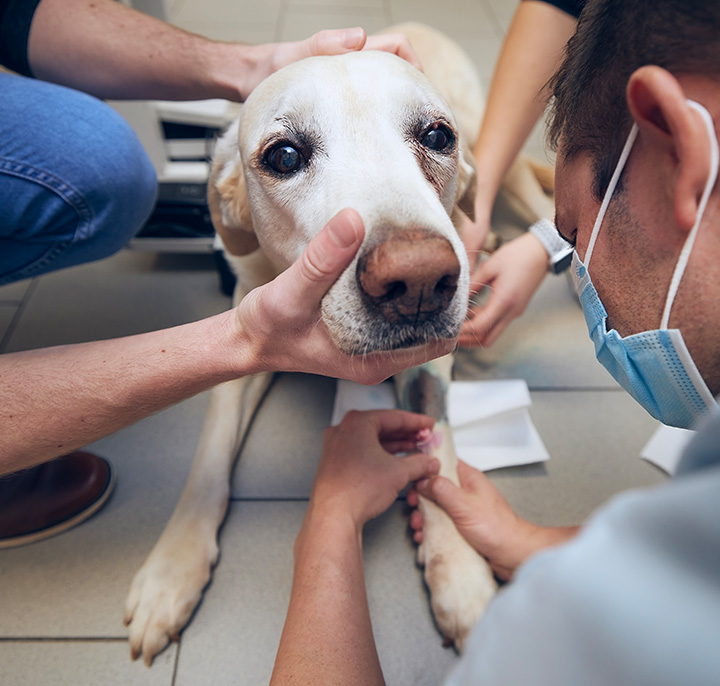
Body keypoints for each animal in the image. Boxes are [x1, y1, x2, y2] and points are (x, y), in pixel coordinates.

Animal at [124, 22, 556, 668]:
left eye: (436, 136)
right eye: (284, 155)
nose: (419, 282)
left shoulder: (431, 363)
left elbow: (438, 443)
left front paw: (458, 569)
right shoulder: (246, 329)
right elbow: (210, 451)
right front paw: (171, 569)